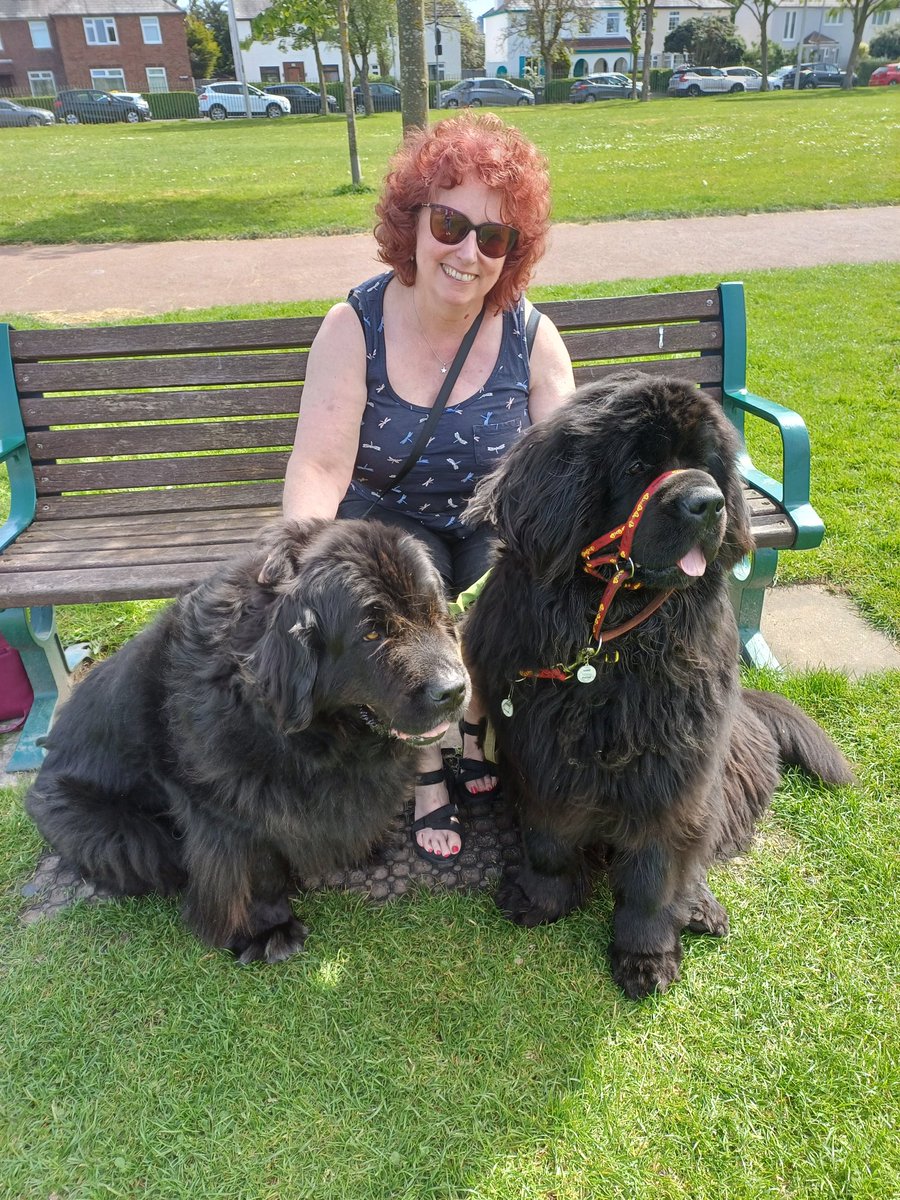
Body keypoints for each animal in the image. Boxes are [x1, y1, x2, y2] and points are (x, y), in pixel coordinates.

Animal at [26, 520, 472, 960]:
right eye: (371, 635)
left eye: (434, 614)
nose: (453, 690)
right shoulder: (229, 811)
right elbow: (256, 869)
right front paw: (269, 930)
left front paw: (363, 845)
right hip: (121, 834)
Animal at [460, 372, 854, 993]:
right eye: (637, 464)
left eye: (708, 464)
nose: (710, 502)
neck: (614, 647)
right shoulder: (542, 755)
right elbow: (549, 838)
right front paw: (541, 899)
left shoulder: (673, 773)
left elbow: (655, 874)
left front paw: (645, 956)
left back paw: (700, 908)